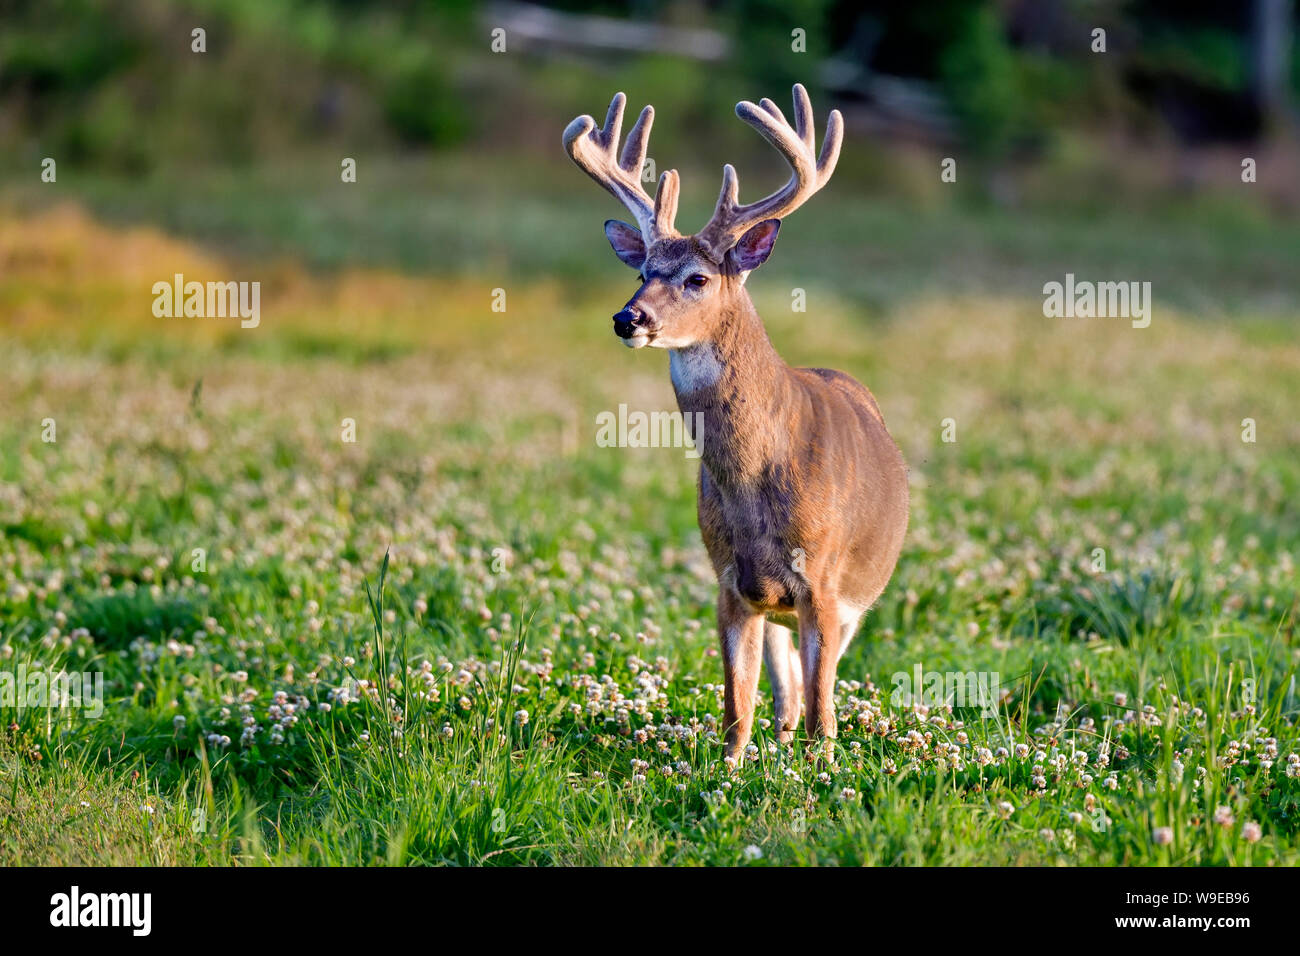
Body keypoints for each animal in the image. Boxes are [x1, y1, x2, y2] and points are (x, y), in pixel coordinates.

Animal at [564, 85, 909, 764]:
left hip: (854, 597)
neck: (757, 482)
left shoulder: (824, 581)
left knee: (814, 690)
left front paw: (822, 771)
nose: (627, 318)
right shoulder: (728, 579)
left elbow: (823, 712)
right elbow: (735, 706)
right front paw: (727, 771)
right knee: (784, 691)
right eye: (641, 271)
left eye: (697, 277)